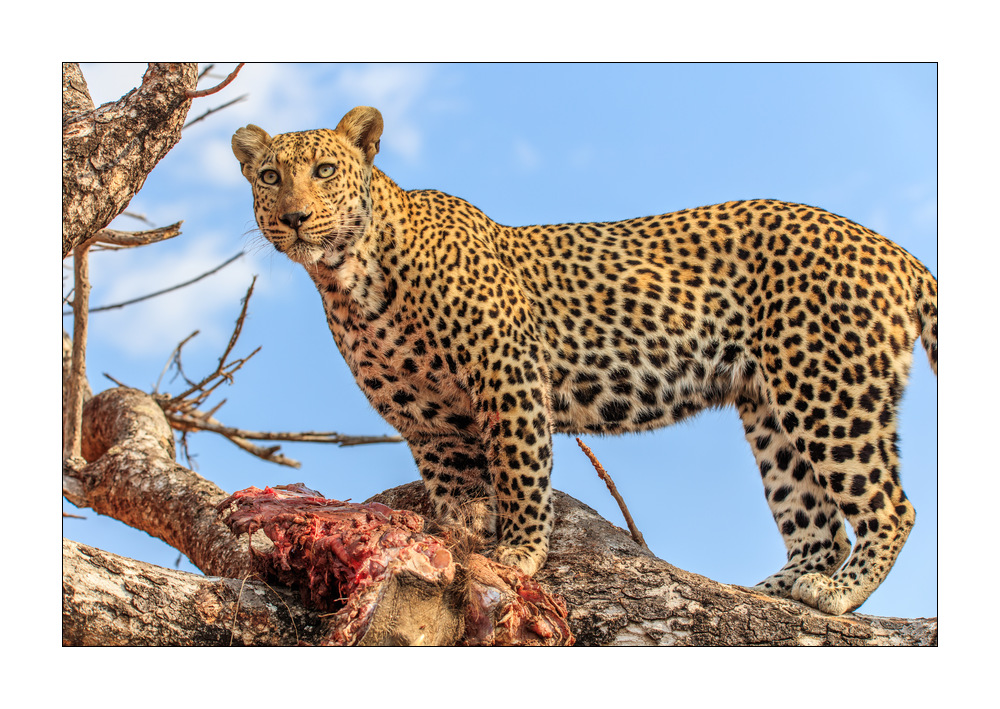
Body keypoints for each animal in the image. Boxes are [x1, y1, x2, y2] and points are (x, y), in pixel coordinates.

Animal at [232, 106, 937, 616]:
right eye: (269, 177)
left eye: (325, 169)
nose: (294, 218)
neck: (350, 280)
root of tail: (897, 251)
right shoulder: (430, 422)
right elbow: (456, 496)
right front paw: (459, 542)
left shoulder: (508, 375)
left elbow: (520, 473)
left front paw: (517, 553)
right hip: (771, 407)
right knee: (818, 523)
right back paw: (772, 591)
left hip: (828, 388)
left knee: (889, 506)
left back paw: (838, 593)